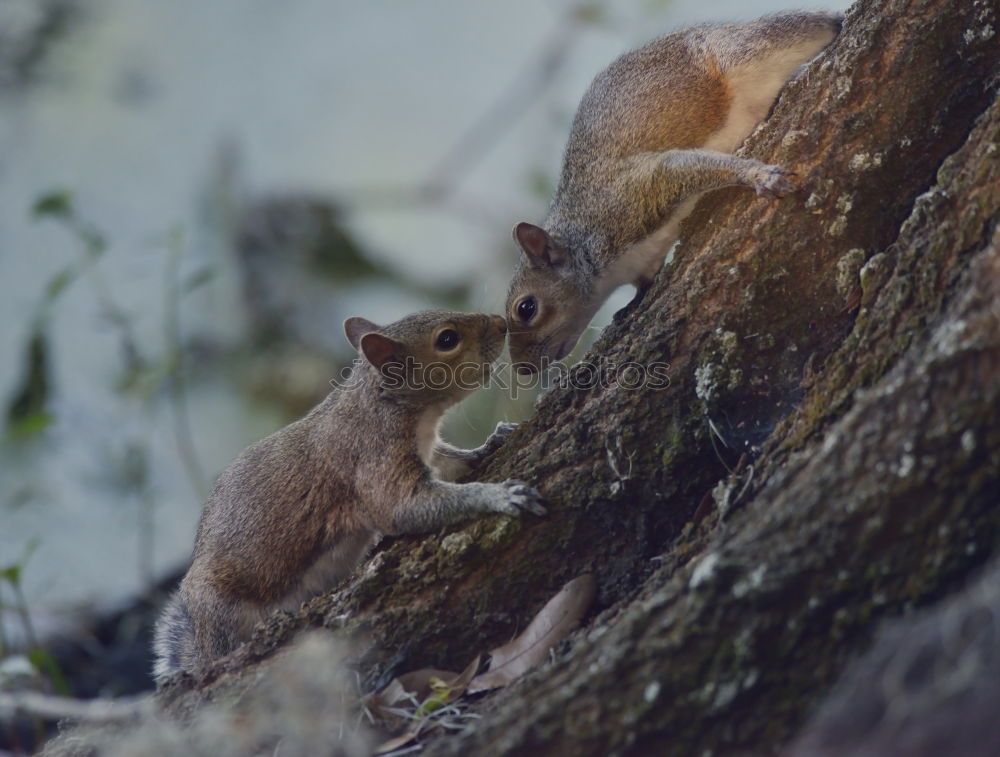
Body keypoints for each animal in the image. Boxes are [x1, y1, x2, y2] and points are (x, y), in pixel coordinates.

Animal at [154, 308, 548, 680]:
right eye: (447, 339)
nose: (501, 323)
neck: (385, 403)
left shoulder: (428, 453)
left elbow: (453, 463)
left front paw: (492, 442)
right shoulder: (374, 458)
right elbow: (403, 508)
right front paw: (499, 495)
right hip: (223, 612)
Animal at [504, 8, 840, 370]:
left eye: (526, 308)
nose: (523, 370)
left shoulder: (630, 197)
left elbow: (678, 168)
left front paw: (758, 175)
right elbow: (646, 280)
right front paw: (634, 302)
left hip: (742, 54)